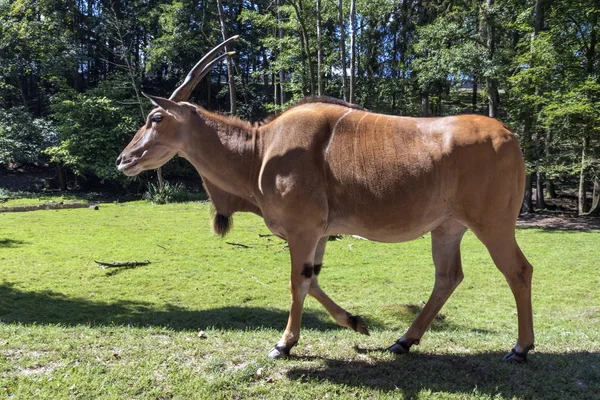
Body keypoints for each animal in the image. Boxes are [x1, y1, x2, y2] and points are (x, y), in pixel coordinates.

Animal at [116, 36, 536, 362]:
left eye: (156, 117)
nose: (124, 159)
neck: (261, 151)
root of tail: (510, 137)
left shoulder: (302, 230)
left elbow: (296, 283)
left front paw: (283, 344)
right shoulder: (318, 234)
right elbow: (312, 281)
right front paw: (357, 323)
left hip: (493, 224)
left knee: (518, 270)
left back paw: (520, 348)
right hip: (447, 228)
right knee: (448, 277)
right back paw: (403, 341)